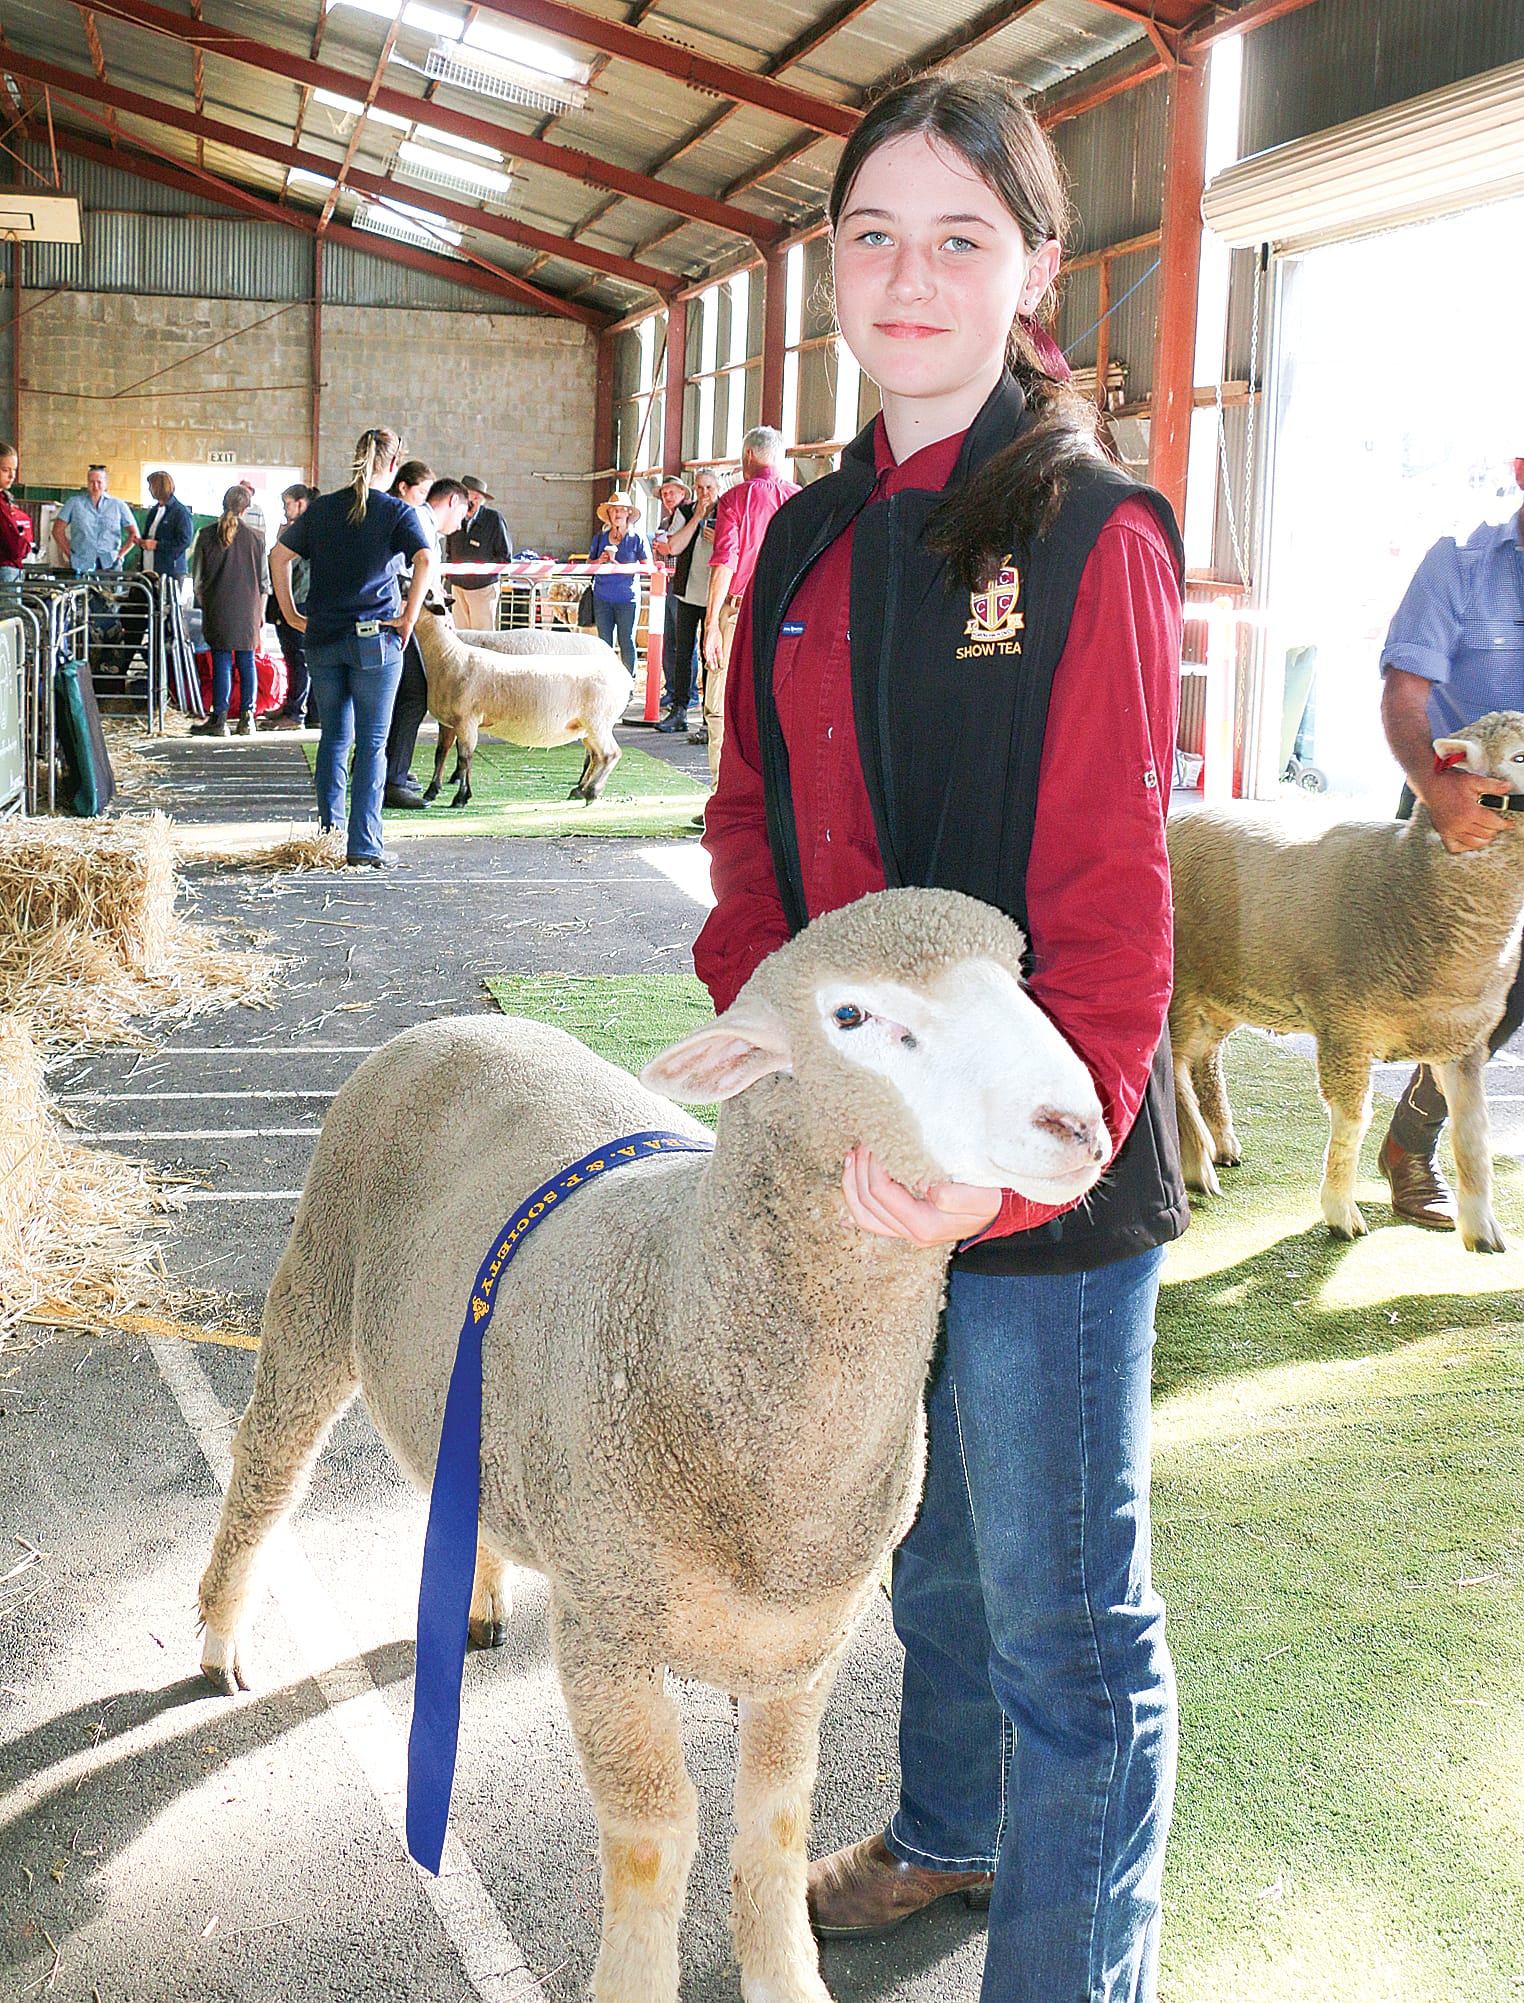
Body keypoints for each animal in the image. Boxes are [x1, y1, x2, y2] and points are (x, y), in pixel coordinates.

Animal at [196, 886, 1108, 2003]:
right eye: (851, 1016)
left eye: (1024, 979)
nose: (1078, 1122)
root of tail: (446, 1025)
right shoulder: (607, 1631)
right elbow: (653, 1834)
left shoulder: (807, 1644)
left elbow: (775, 1822)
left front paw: (784, 1973)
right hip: (316, 1288)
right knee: (267, 1466)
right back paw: (221, 1637)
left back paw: (476, 1592)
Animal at [412, 604, 630, 807]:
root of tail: (619, 665)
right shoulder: (449, 720)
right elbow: (442, 752)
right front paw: (435, 789)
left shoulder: (465, 719)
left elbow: (461, 754)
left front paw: (456, 789)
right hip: (585, 725)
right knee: (596, 755)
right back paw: (581, 789)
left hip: (597, 722)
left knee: (608, 754)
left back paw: (590, 791)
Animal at [1168, 708, 1524, 1253]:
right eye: (1519, 756)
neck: (1411, 886)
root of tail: (1174, 815)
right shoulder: (1345, 1029)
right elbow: (1353, 1122)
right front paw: (1340, 1210)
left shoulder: (1463, 1040)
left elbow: (1472, 1131)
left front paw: (1481, 1226)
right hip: (1179, 981)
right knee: (1171, 1067)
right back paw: (1195, 1159)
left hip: (1226, 988)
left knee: (1200, 1059)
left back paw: (1220, 1142)